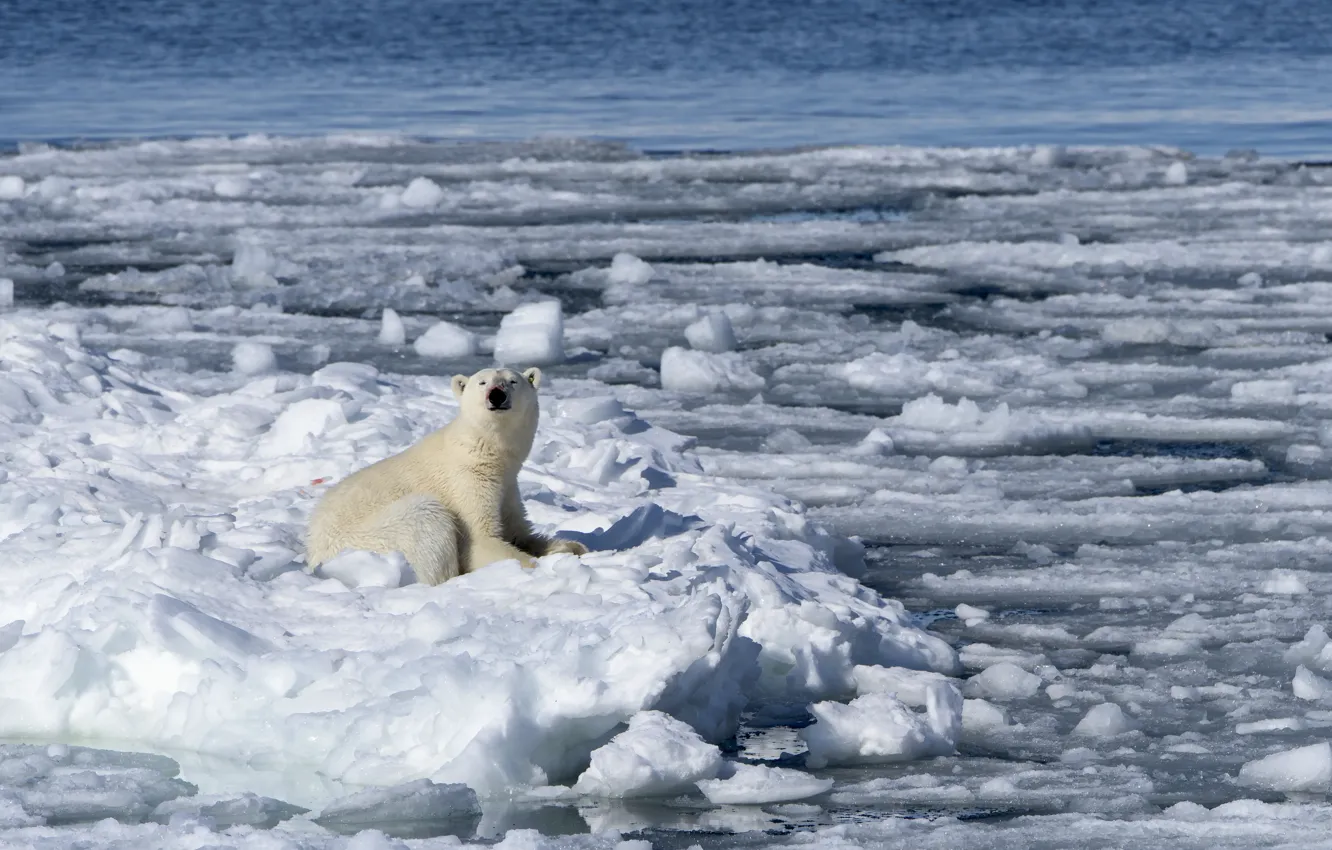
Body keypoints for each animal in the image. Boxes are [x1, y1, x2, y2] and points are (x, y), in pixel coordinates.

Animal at [305, 365, 588, 584]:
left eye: (512, 381)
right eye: (482, 381)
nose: (496, 395)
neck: (489, 457)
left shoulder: (507, 488)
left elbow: (519, 531)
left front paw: (571, 547)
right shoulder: (465, 482)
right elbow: (479, 542)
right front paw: (533, 566)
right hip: (375, 535)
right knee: (427, 521)